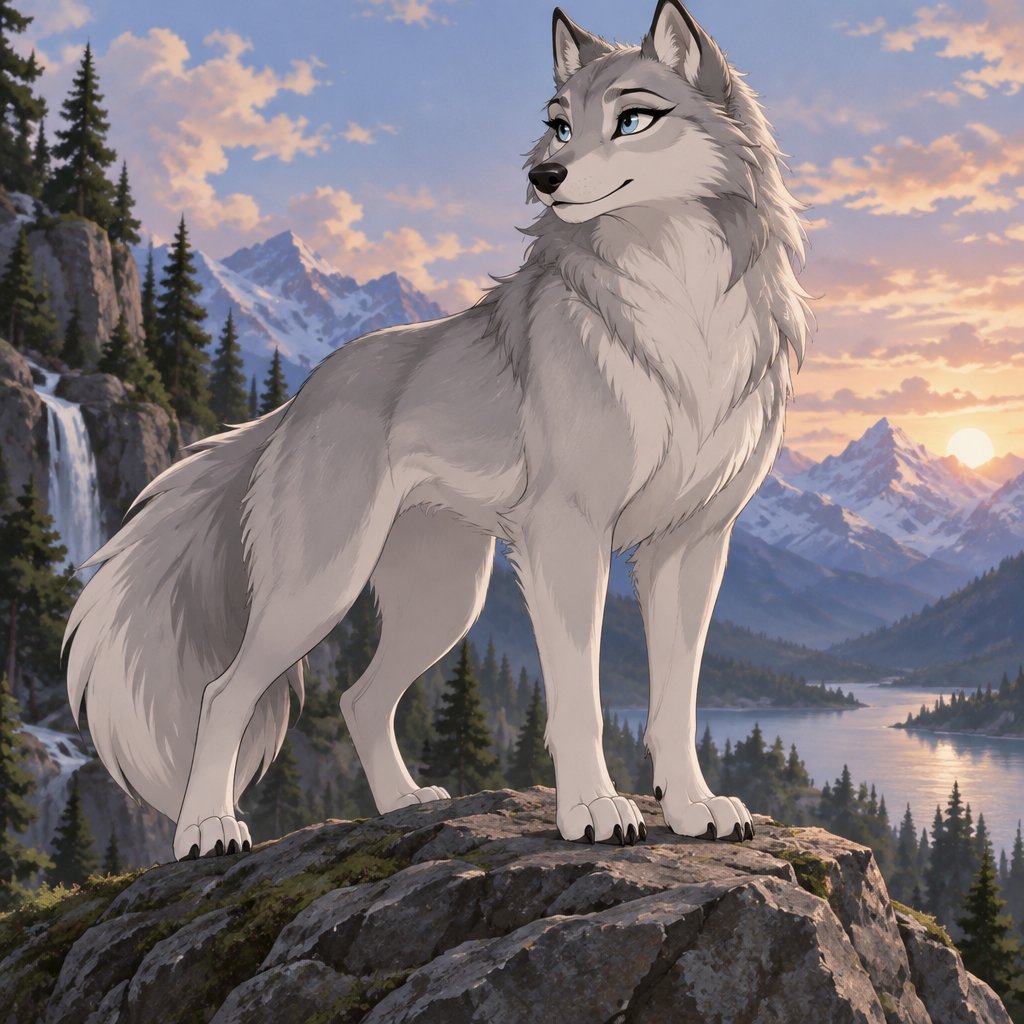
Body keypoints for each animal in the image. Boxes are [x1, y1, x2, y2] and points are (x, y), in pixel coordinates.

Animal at [65, 0, 810, 860]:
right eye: (560, 126)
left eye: (631, 119)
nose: (543, 177)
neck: (680, 309)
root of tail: (298, 398)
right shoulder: (570, 537)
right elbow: (580, 701)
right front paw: (592, 809)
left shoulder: (691, 546)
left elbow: (677, 703)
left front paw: (692, 810)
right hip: (321, 592)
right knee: (224, 693)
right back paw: (208, 830)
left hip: (444, 604)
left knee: (359, 698)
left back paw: (401, 805)